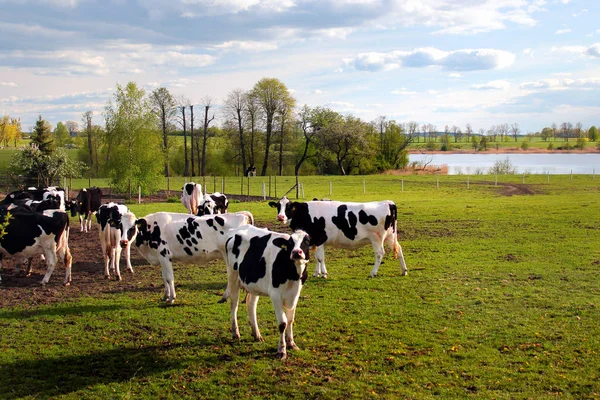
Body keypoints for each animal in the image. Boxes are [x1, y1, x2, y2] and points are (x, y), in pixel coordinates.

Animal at [221, 225, 314, 360]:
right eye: (290, 242)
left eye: (306, 241)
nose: (296, 252)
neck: (293, 275)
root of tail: (237, 230)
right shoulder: (275, 295)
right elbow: (282, 323)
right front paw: (281, 351)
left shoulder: (295, 294)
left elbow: (290, 320)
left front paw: (291, 344)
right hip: (233, 276)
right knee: (234, 305)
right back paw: (235, 333)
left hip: (253, 284)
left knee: (251, 305)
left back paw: (257, 334)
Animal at [270, 196, 410, 278]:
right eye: (278, 206)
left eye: (289, 207)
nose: (280, 217)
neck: (305, 213)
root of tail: (387, 202)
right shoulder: (313, 241)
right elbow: (316, 258)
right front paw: (317, 273)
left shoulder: (319, 239)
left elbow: (320, 258)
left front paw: (324, 274)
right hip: (390, 236)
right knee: (399, 249)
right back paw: (404, 271)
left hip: (377, 238)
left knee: (380, 254)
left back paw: (373, 273)